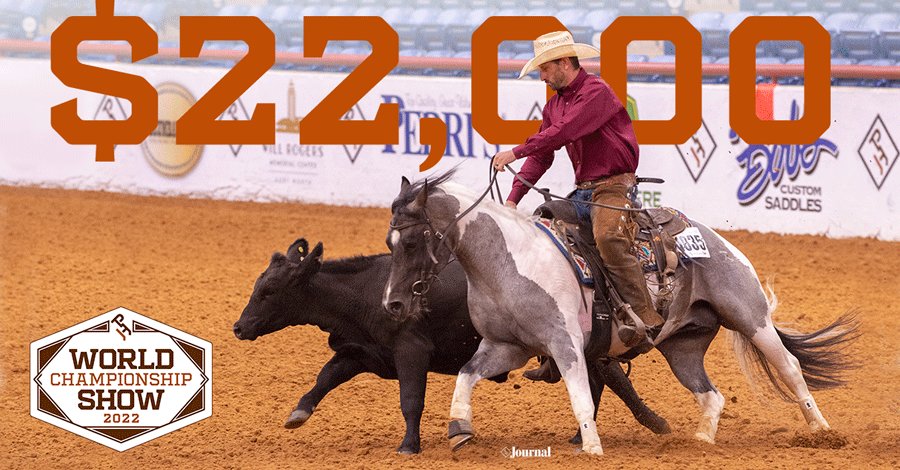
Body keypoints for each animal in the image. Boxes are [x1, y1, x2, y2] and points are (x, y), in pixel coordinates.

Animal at [233, 238, 671, 454]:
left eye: (269, 291)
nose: (238, 327)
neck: (369, 291)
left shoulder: (411, 351)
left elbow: (411, 399)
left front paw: (409, 446)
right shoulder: (360, 351)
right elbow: (325, 378)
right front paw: (298, 413)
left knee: (609, 376)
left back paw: (647, 422)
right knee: (601, 377)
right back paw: (589, 433)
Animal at [382, 171, 858, 455]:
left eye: (413, 240)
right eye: (389, 242)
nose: (393, 304)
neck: (507, 260)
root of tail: (713, 238)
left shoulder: (565, 344)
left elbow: (579, 394)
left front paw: (592, 448)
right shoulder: (506, 346)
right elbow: (466, 373)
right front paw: (459, 428)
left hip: (750, 315)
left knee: (790, 367)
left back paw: (823, 431)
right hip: (682, 347)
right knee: (711, 394)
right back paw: (701, 441)